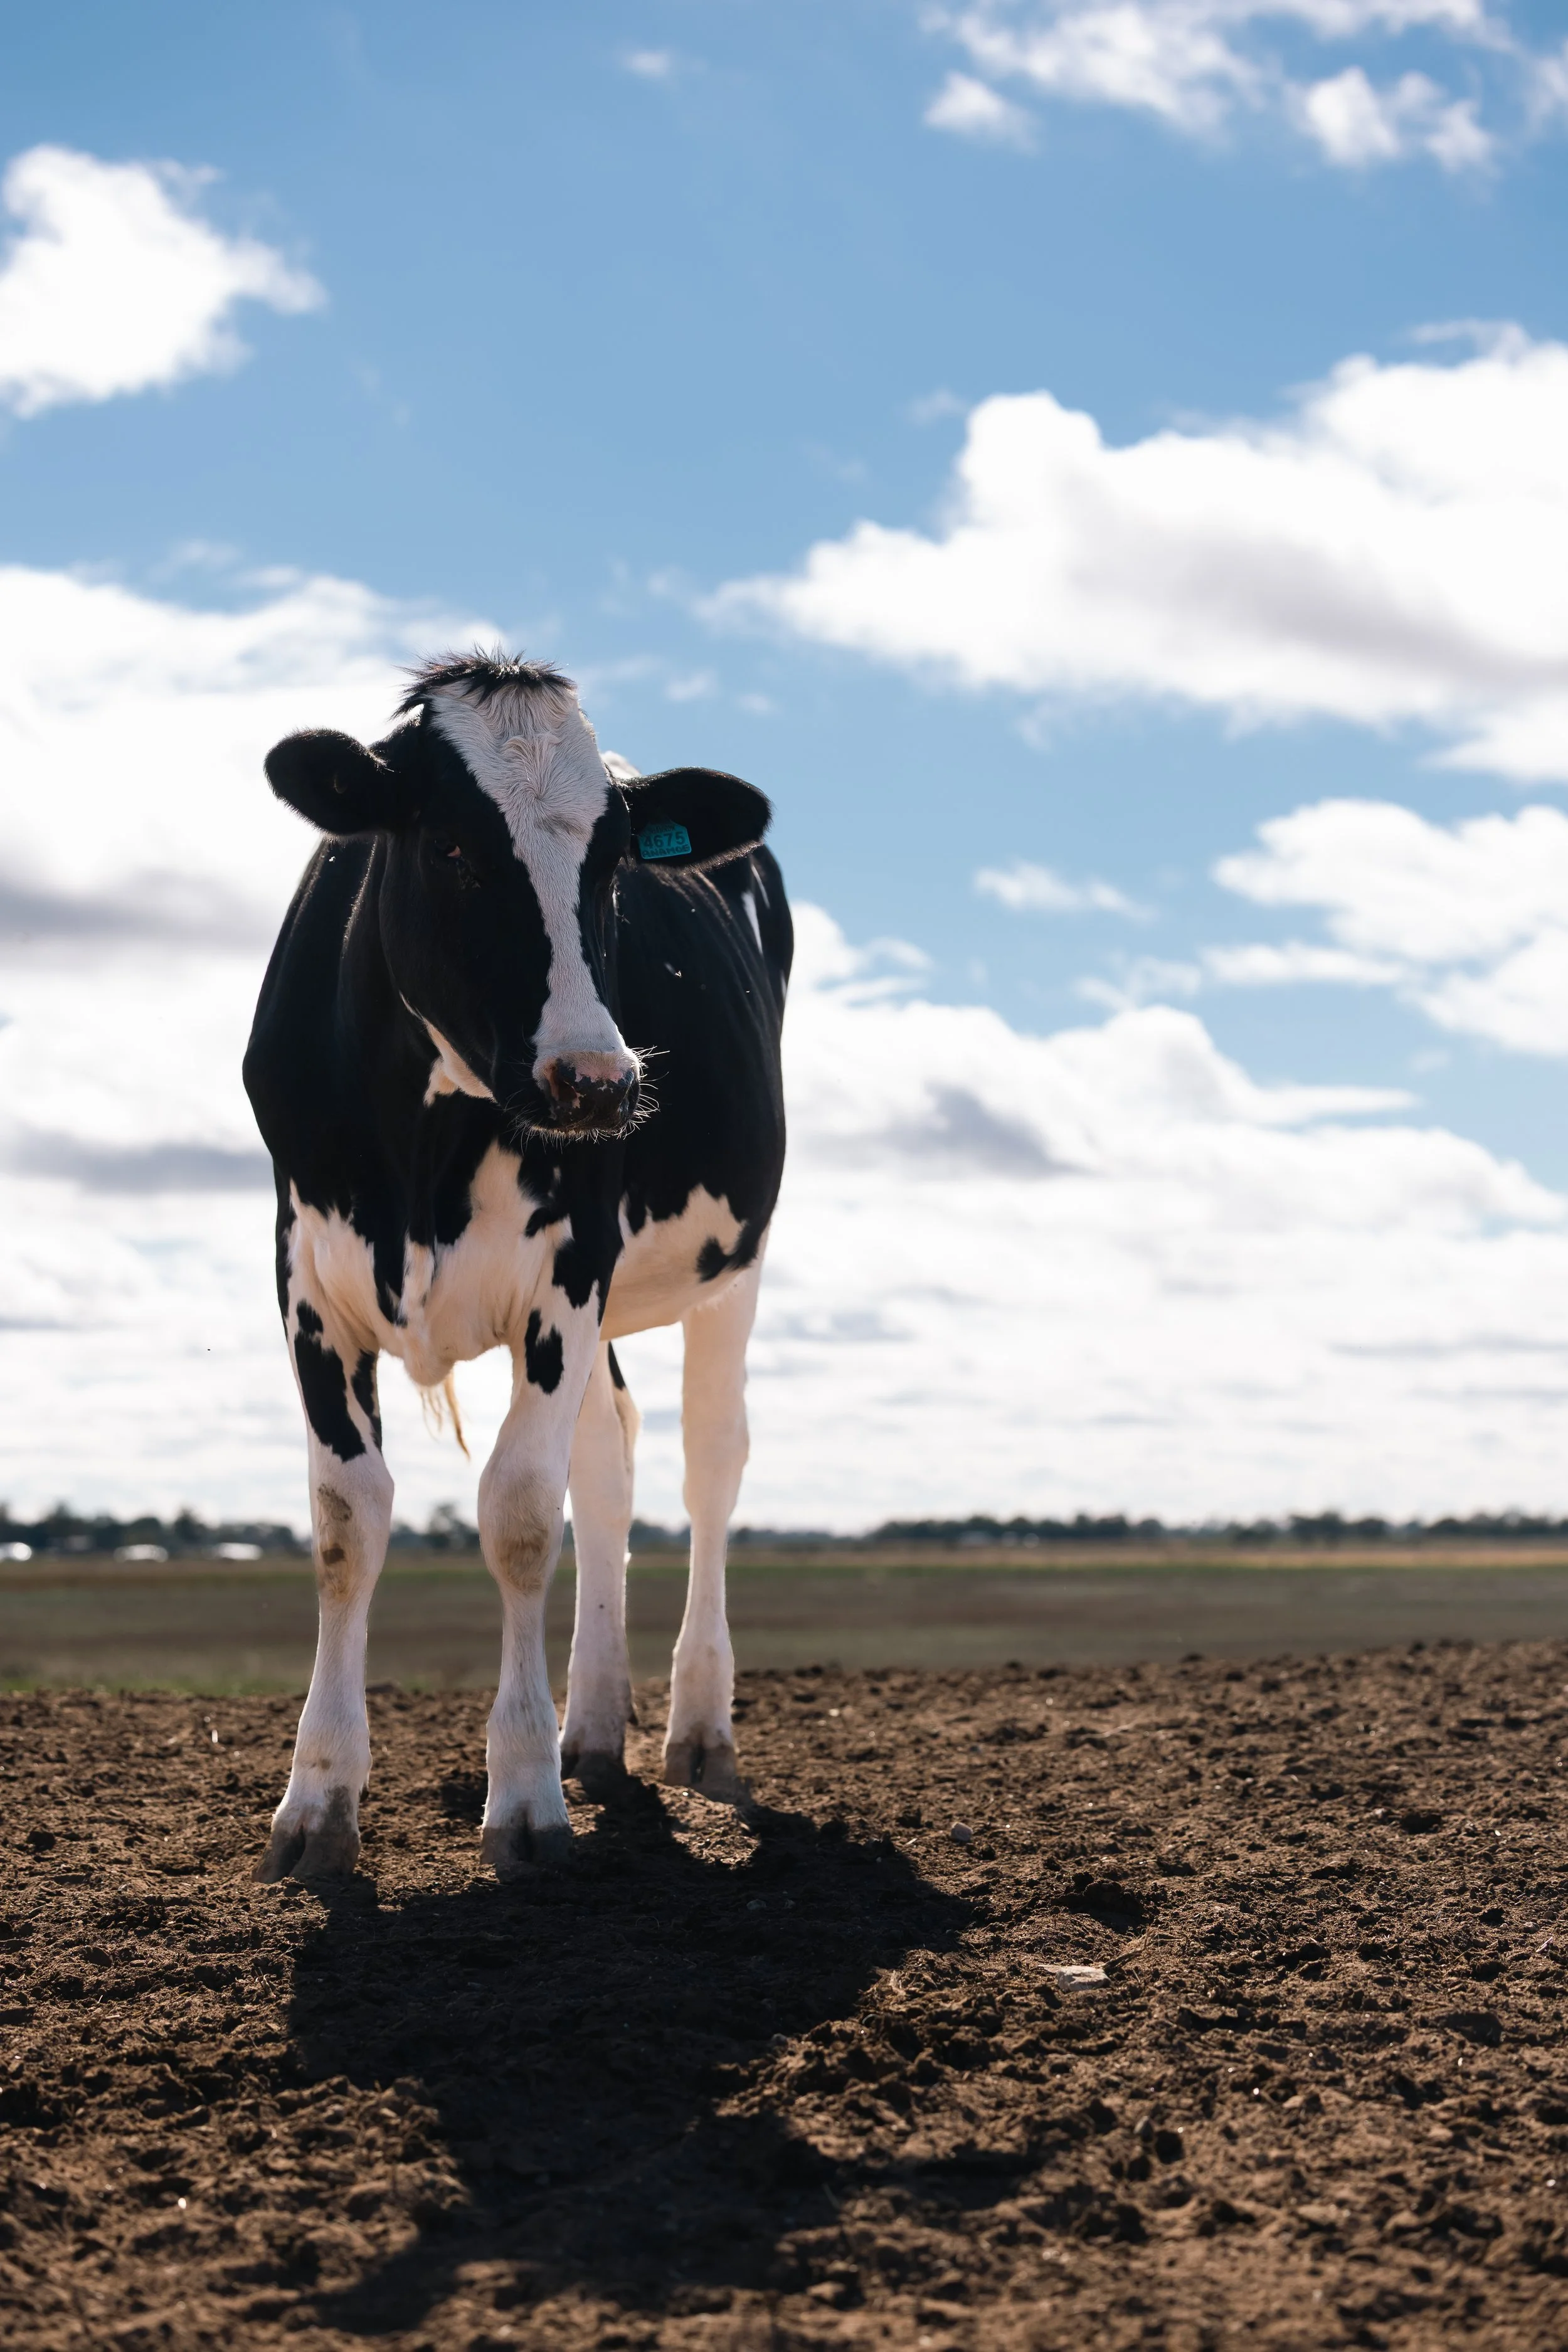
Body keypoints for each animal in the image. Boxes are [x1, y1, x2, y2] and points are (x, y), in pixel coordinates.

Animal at [242, 652, 790, 1882]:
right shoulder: (306, 1275)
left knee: (712, 1461)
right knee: (613, 1458)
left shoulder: (570, 1270)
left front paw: (528, 1796)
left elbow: (523, 1516)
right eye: (450, 845)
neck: (423, 1149)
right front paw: (318, 1799)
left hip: (732, 1263)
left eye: (615, 859)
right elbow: (347, 1520)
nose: (597, 1081)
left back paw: (695, 1730)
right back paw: (593, 1728)